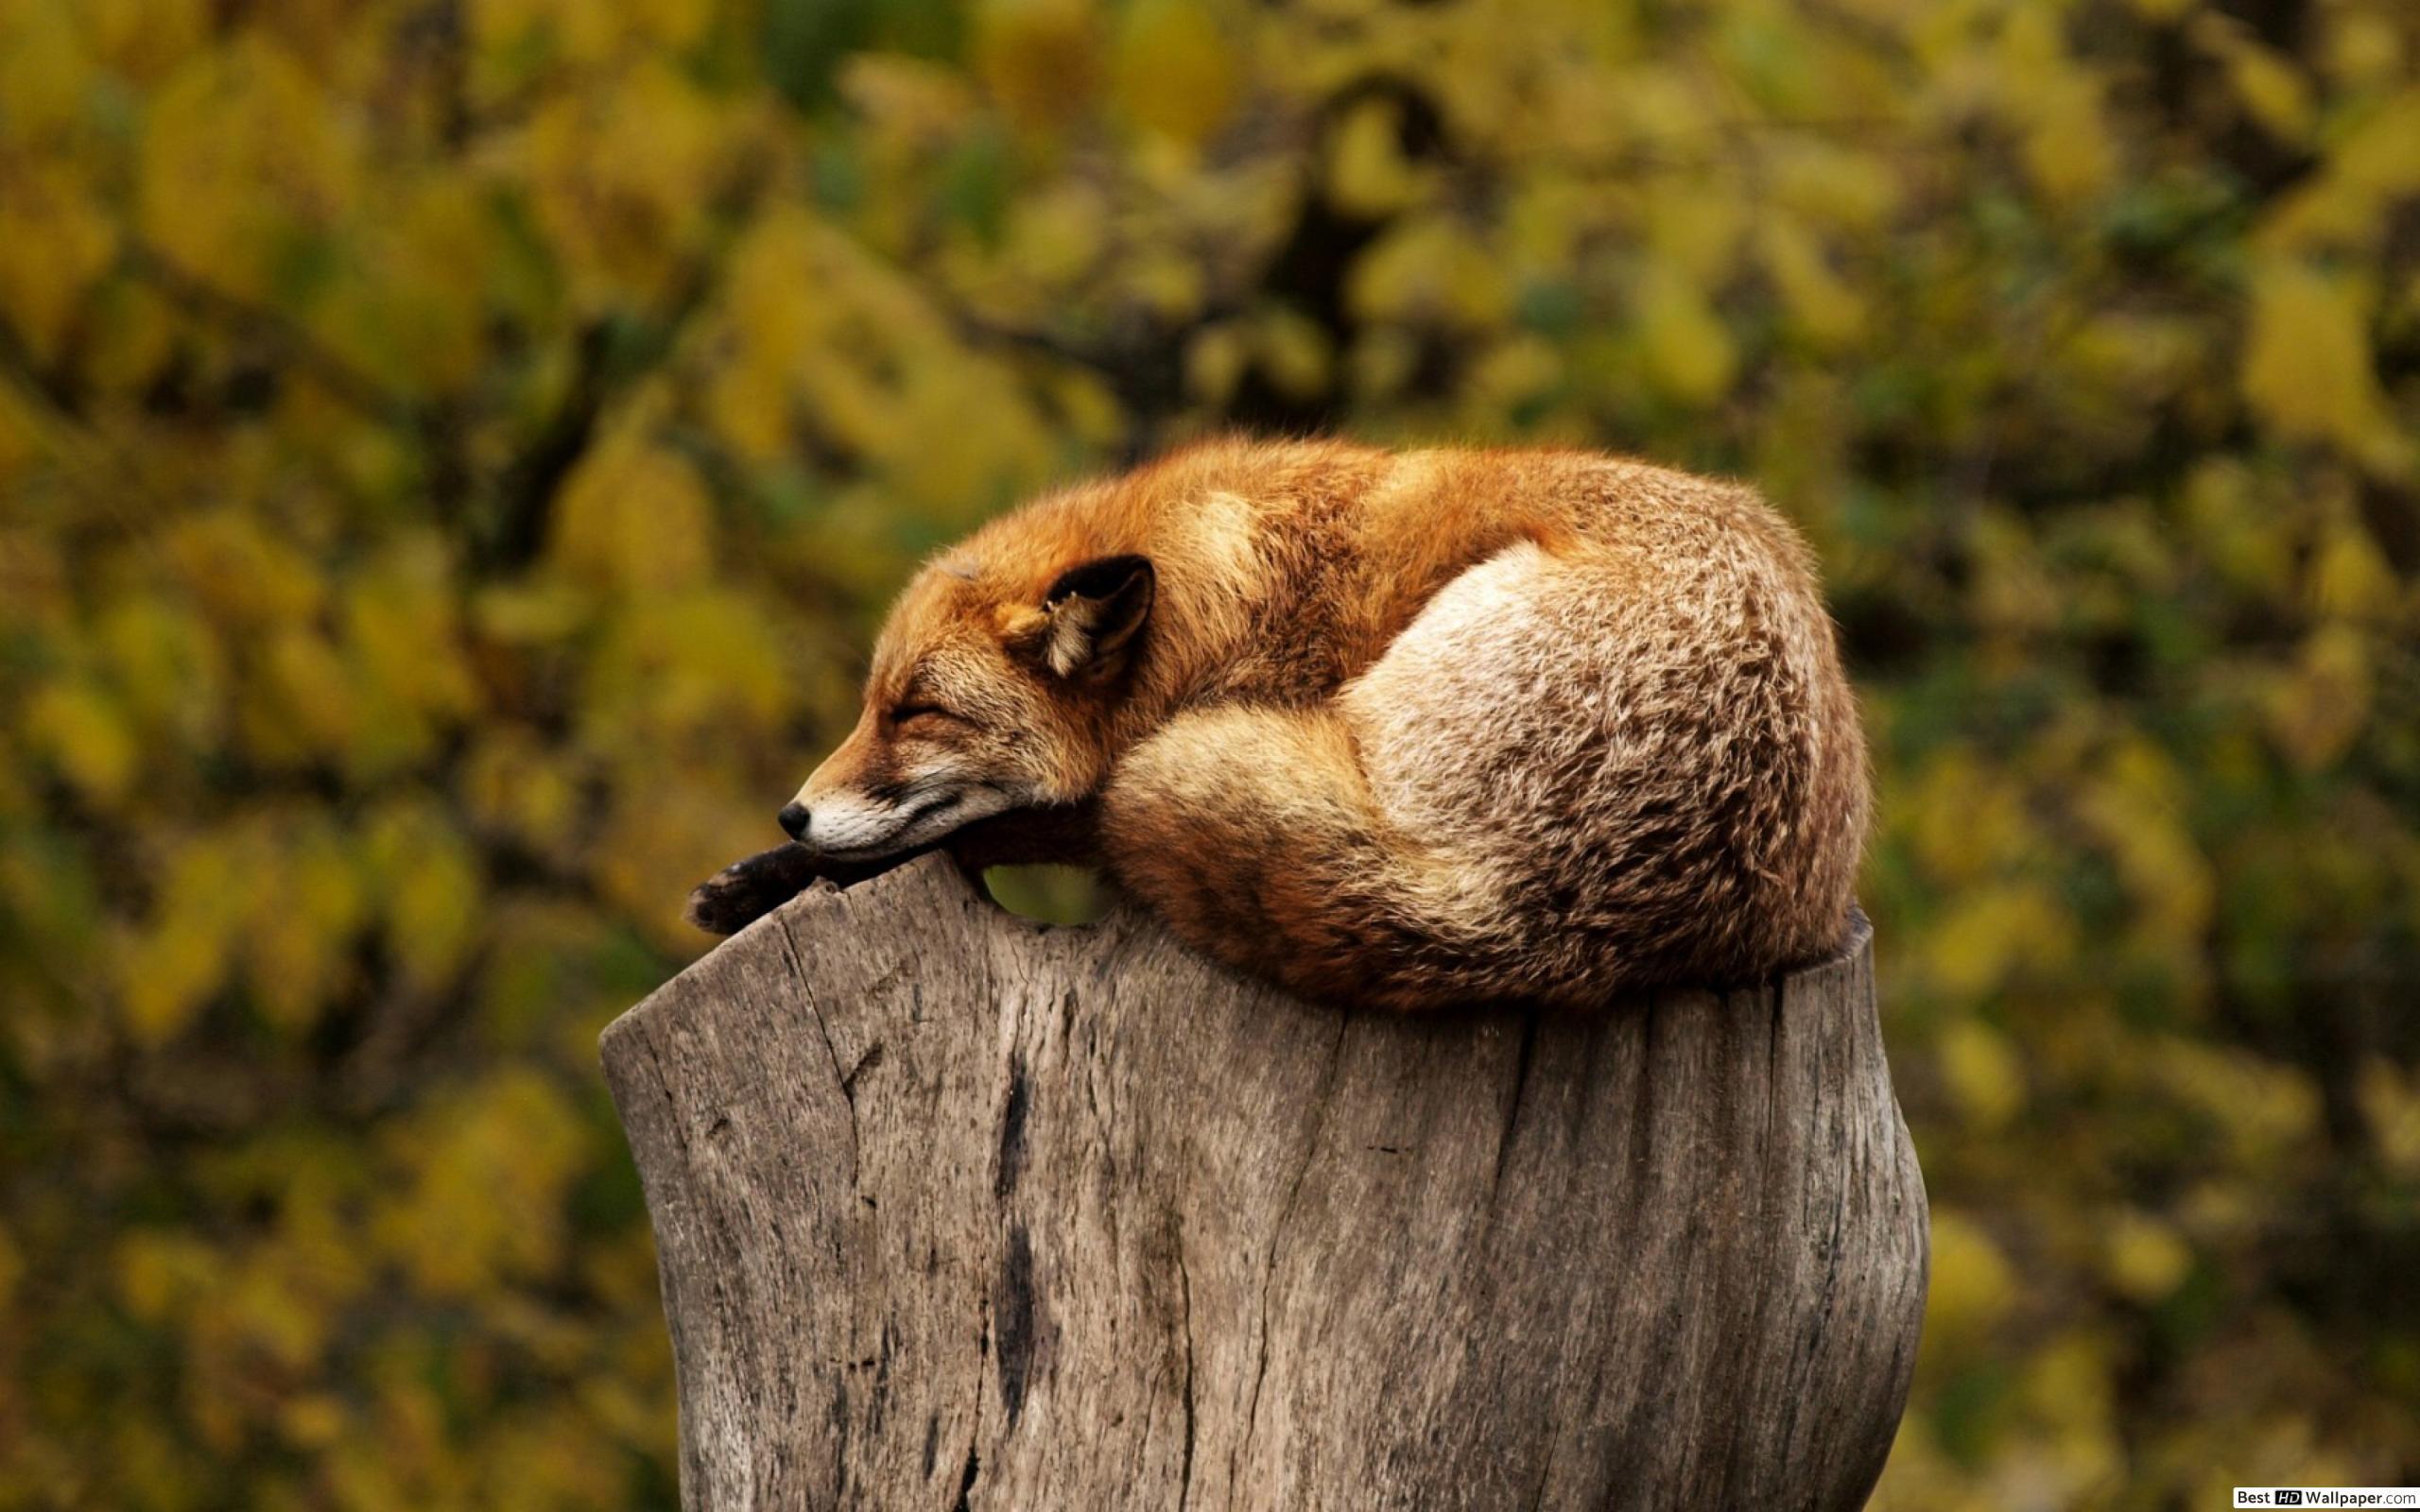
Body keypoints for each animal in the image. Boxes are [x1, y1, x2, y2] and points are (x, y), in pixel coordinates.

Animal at [687, 437, 1869, 1011]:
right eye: (870, 704)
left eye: (916, 711)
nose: (792, 813)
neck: (1224, 601)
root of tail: (1539, 909)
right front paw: (762, 875)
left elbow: (1000, 827)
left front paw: (776, 875)